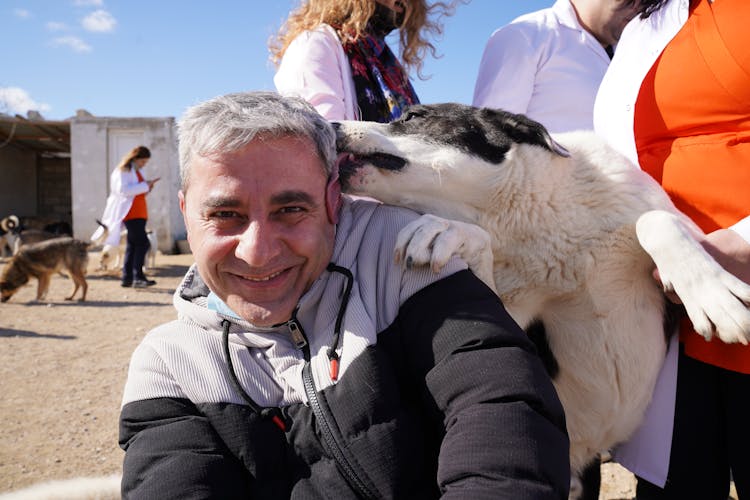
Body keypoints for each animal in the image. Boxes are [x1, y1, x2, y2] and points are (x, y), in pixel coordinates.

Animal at [334, 104, 750, 492]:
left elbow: (656, 221)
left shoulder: (678, 226)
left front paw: (715, 297)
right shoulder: (513, 320)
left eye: (413, 117)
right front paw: (448, 230)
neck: (531, 218)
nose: (331, 125)